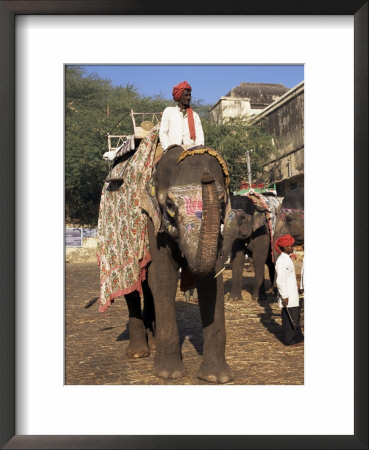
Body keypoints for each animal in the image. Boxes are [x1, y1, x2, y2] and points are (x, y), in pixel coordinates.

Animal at [134, 145, 233, 384]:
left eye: (222, 201)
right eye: (170, 205)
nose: (206, 177)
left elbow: (212, 281)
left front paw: (216, 377)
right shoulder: (153, 223)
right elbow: (163, 277)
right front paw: (168, 374)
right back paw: (138, 351)